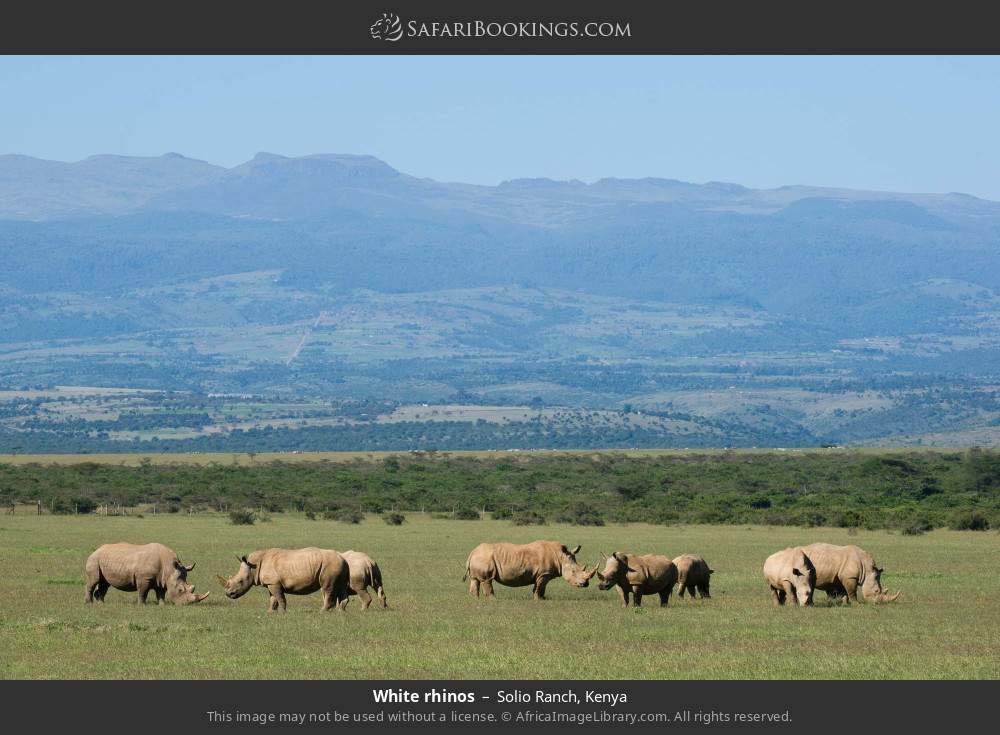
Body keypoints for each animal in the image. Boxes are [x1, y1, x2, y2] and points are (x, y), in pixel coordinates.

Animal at [218, 547, 350, 611]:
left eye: (240, 581)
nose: (229, 594)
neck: (254, 566)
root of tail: (342, 558)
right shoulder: (271, 583)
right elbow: (273, 599)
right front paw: (270, 612)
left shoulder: (274, 583)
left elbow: (280, 598)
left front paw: (283, 612)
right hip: (339, 565)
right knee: (341, 586)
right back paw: (341, 612)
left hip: (330, 565)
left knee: (327, 588)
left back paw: (322, 611)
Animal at [463, 541, 596, 599]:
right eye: (574, 572)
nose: (585, 584)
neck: (560, 557)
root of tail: (472, 552)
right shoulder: (543, 574)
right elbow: (540, 587)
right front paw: (539, 599)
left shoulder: (541, 574)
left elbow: (539, 587)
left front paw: (543, 599)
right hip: (484, 558)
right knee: (487, 580)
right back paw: (493, 600)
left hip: (479, 558)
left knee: (475, 580)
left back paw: (475, 600)